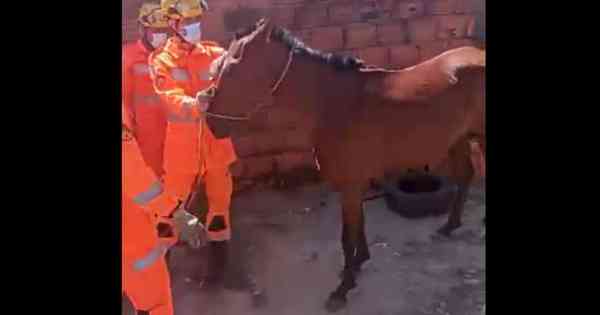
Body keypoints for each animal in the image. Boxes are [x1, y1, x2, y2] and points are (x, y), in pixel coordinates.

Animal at [204, 19, 486, 314]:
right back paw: (450, 226)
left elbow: (347, 238)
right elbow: (355, 228)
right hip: (458, 138)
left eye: (232, 68)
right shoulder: (352, 184)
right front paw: (360, 262)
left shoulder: (350, 184)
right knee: (466, 175)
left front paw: (343, 289)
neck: (336, 104)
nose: (211, 122)